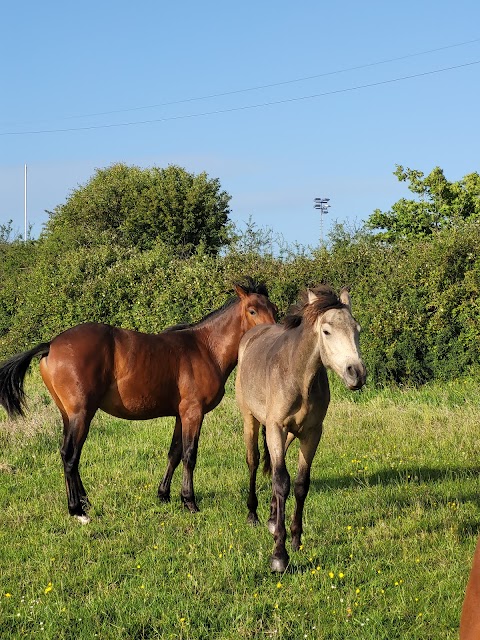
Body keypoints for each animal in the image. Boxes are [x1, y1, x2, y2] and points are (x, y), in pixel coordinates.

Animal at [0, 278, 276, 524]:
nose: (272, 335)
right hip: (81, 414)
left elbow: (174, 453)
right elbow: (189, 455)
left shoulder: (181, 415)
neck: (205, 348)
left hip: (68, 415)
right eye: (252, 310)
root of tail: (52, 345)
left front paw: (164, 495)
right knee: (71, 455)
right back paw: (77, 510)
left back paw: (84, 501)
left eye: (273, 309)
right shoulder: (193, 413)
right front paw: (189, 501)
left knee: (67, 455)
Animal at [234, 284, 366, 568]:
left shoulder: (311, 433)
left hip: (289, 435)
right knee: (254, 461)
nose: (357, 373)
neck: (298, 376)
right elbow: (281, 481)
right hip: (251, 420)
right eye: (327, 331)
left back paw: (273, 518)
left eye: (357, 329)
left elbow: (299, 483)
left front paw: (294, 539)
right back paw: (253, 514)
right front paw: (279, 556)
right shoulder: (275, 427)